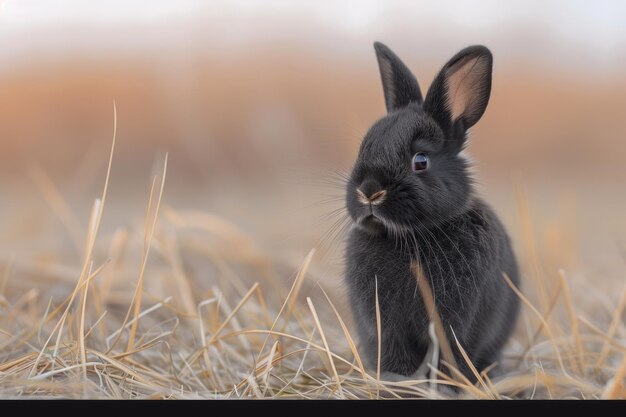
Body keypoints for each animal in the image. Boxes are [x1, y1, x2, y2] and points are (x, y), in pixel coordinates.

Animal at [344, 43, 520, 384]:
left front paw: (443, 387)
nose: (369, 191)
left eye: (421, 160)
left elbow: (450, 354)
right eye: (362, 149)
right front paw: (396, 382)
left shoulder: (455, 325)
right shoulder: (385, 327)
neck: (409, 237)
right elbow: (394, 354)